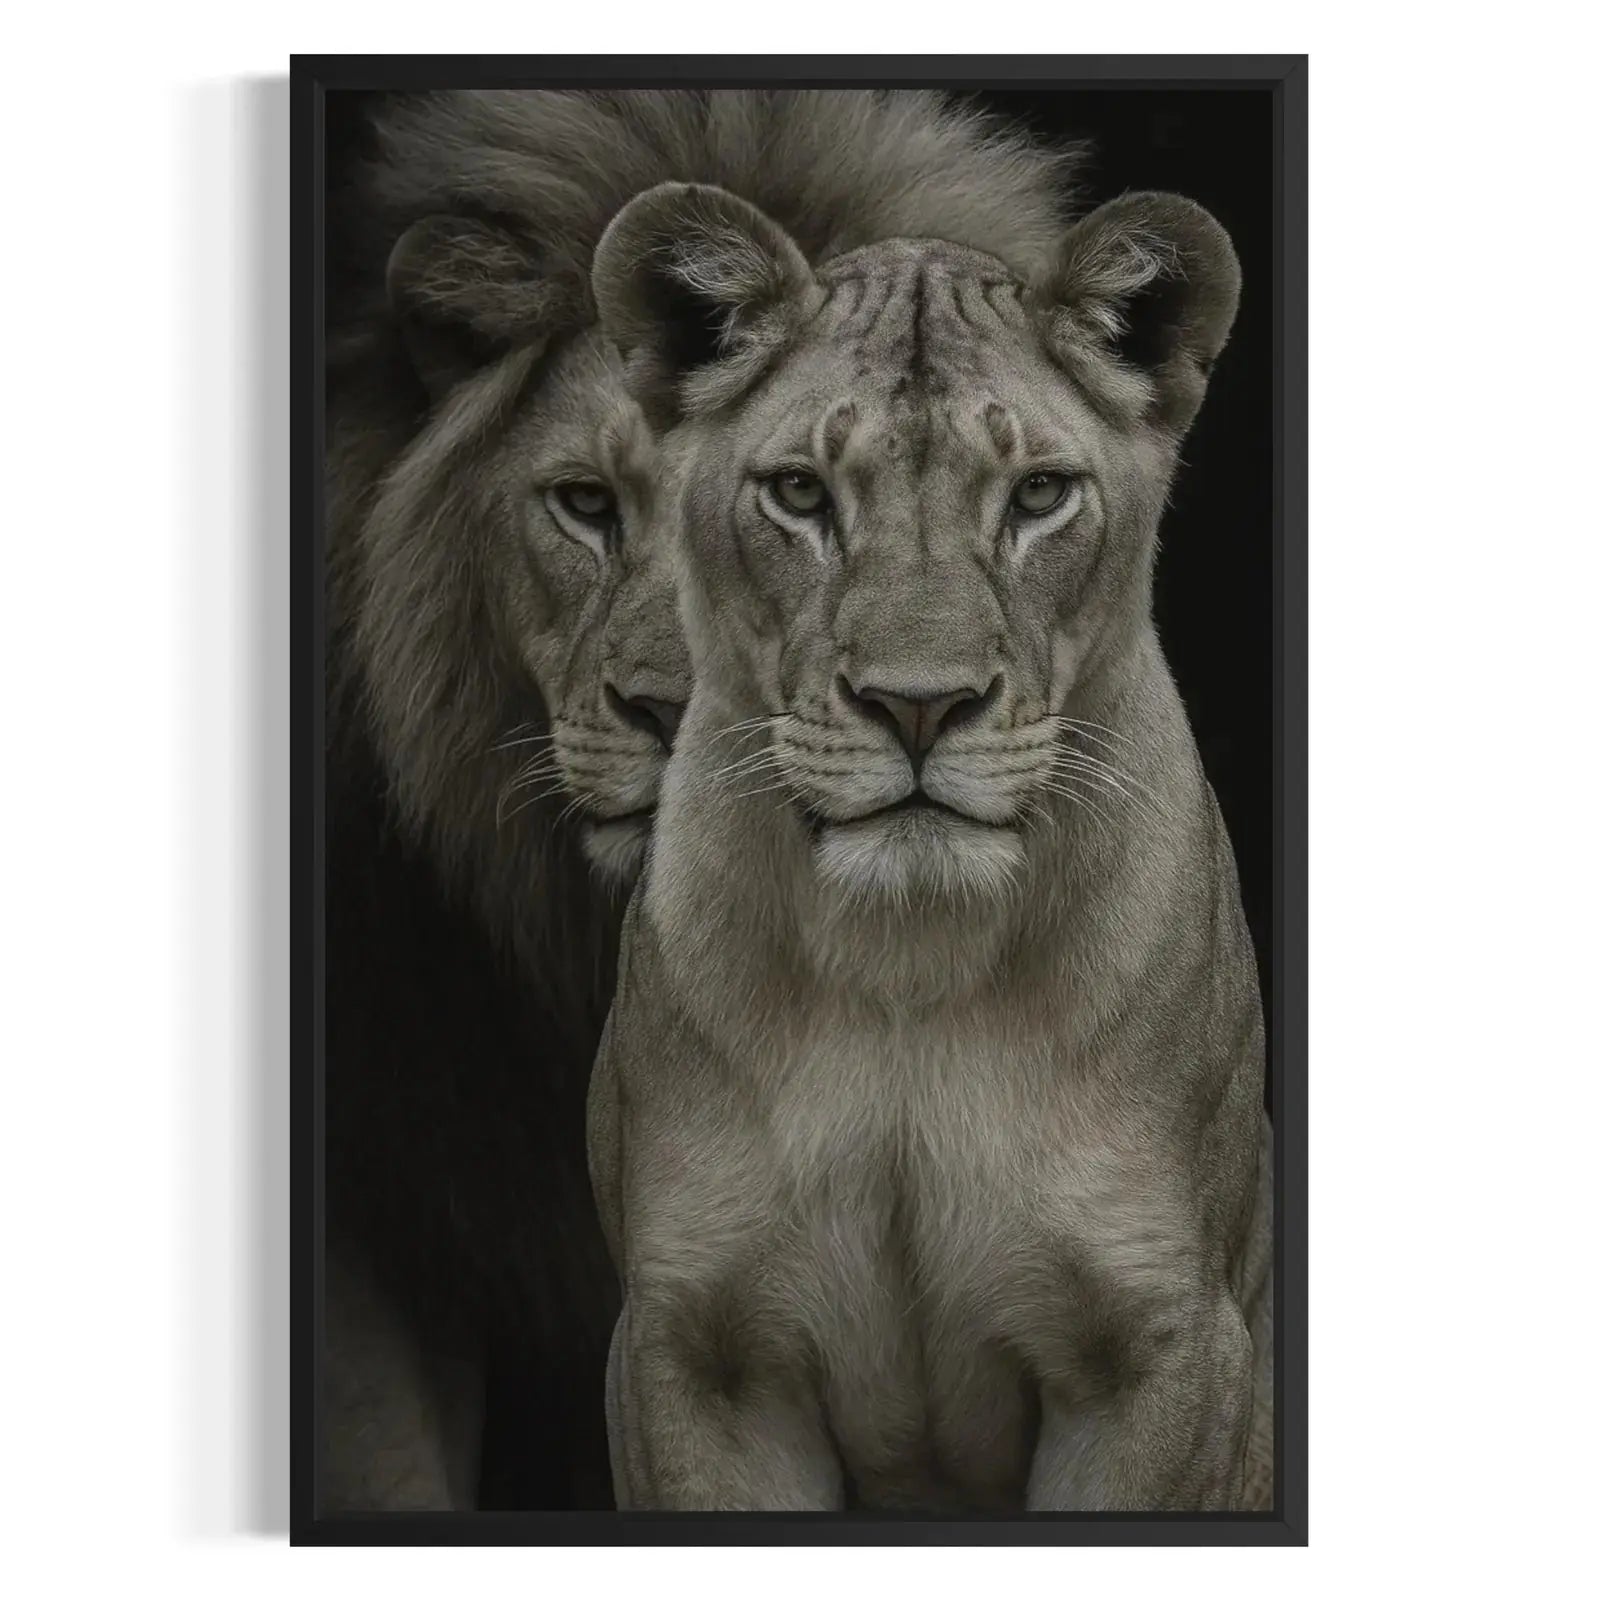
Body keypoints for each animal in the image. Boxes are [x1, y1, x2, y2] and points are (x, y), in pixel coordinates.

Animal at [586, 181, 1273, 1511]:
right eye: (800, 494)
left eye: (1038, 496)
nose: (918, 704)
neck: (908, 965)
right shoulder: (694, 1352)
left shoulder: (1163, 1345)